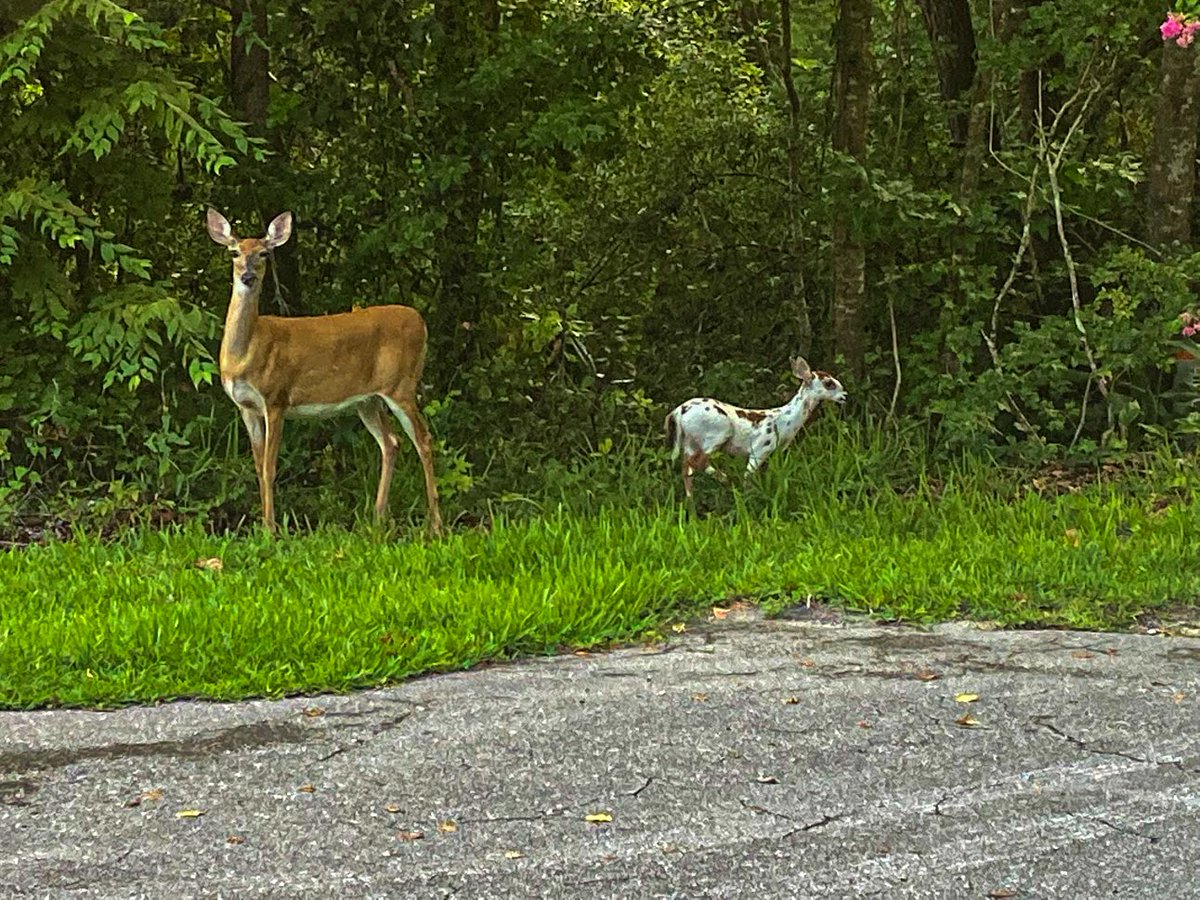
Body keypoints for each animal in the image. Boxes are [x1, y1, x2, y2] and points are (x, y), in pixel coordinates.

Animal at [205, 208, 442, 535]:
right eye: (234, 252)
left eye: (264, 253)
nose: (248, 276)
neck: (245, 353)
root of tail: (420, 321)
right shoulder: (246, 407)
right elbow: (257, 467)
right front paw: (265, 526)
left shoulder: (276, 398)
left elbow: (269, 468)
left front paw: (272, 531)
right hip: (368, 400)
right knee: (391, 442)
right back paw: (377, 518)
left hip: (401, 386)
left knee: (424, 439)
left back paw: (435, 525)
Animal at [665, 357, 847, 498]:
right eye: (828, 383)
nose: (845, 396)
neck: (785, 421)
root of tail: (678, 412)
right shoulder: (760, 448)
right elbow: (748, 476)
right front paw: (749, 495)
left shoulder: (775, 452)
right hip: (716, 432)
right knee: (697, 461)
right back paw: (727, 480)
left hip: (690, 441)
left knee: (686, 467)